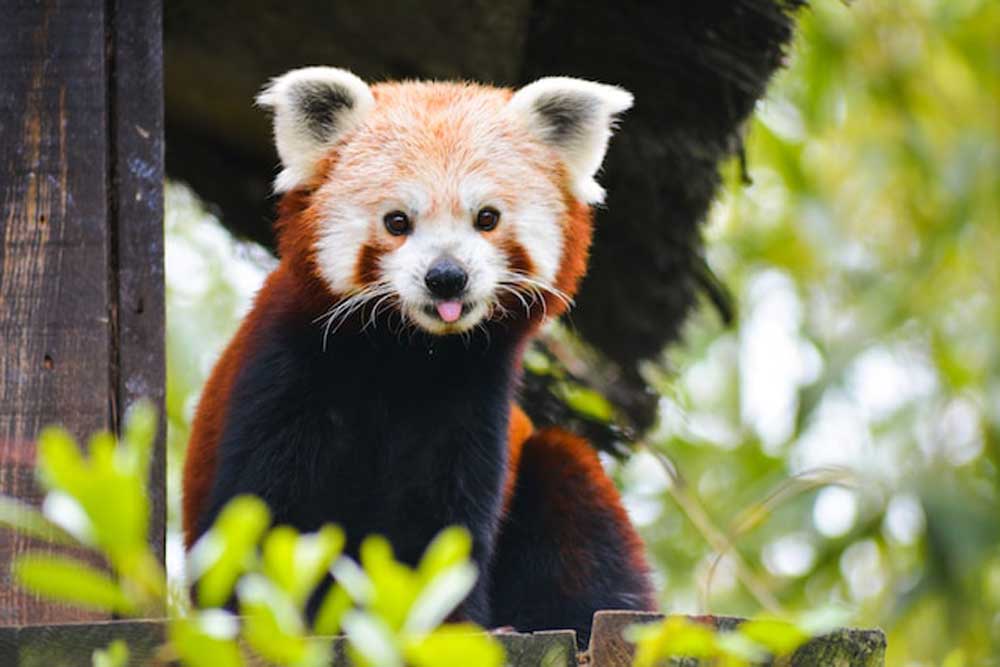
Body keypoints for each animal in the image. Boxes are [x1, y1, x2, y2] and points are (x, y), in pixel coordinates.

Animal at [182, 66, 656, 648]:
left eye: (487, 218)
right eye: (397, 221)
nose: (447, 276)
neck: (407, 354)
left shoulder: (471, 401)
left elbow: (440, 525)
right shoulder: (287, 371)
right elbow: (264, 515)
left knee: (577, 499)